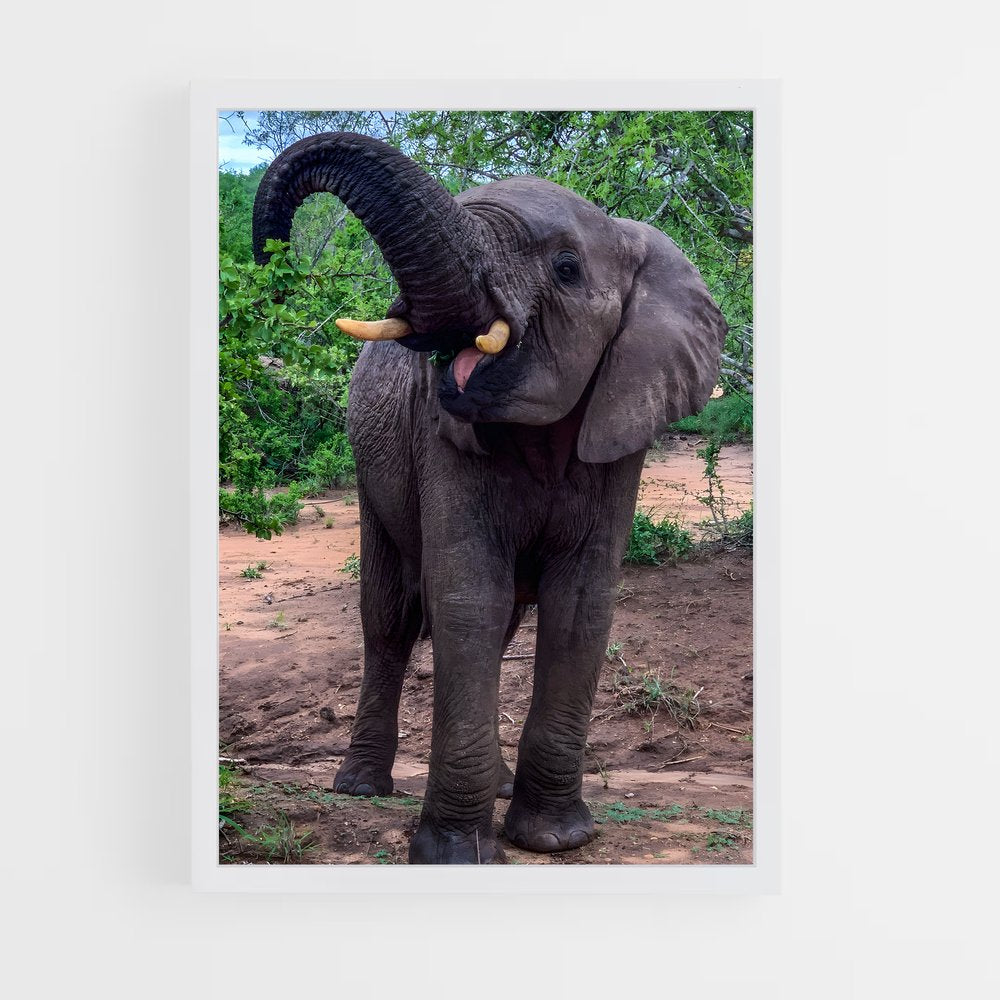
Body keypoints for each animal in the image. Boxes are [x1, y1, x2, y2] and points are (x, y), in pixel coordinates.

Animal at [252, 132, 727, 864]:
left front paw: (556, 839)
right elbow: (469, 595)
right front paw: (454, 856)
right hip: (369, 467)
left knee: (496, 629)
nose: (274, 259)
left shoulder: (622, 425)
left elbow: (580, 604)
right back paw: (360, 787)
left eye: (566, 268)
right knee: (389, 618)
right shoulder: (442, 437)